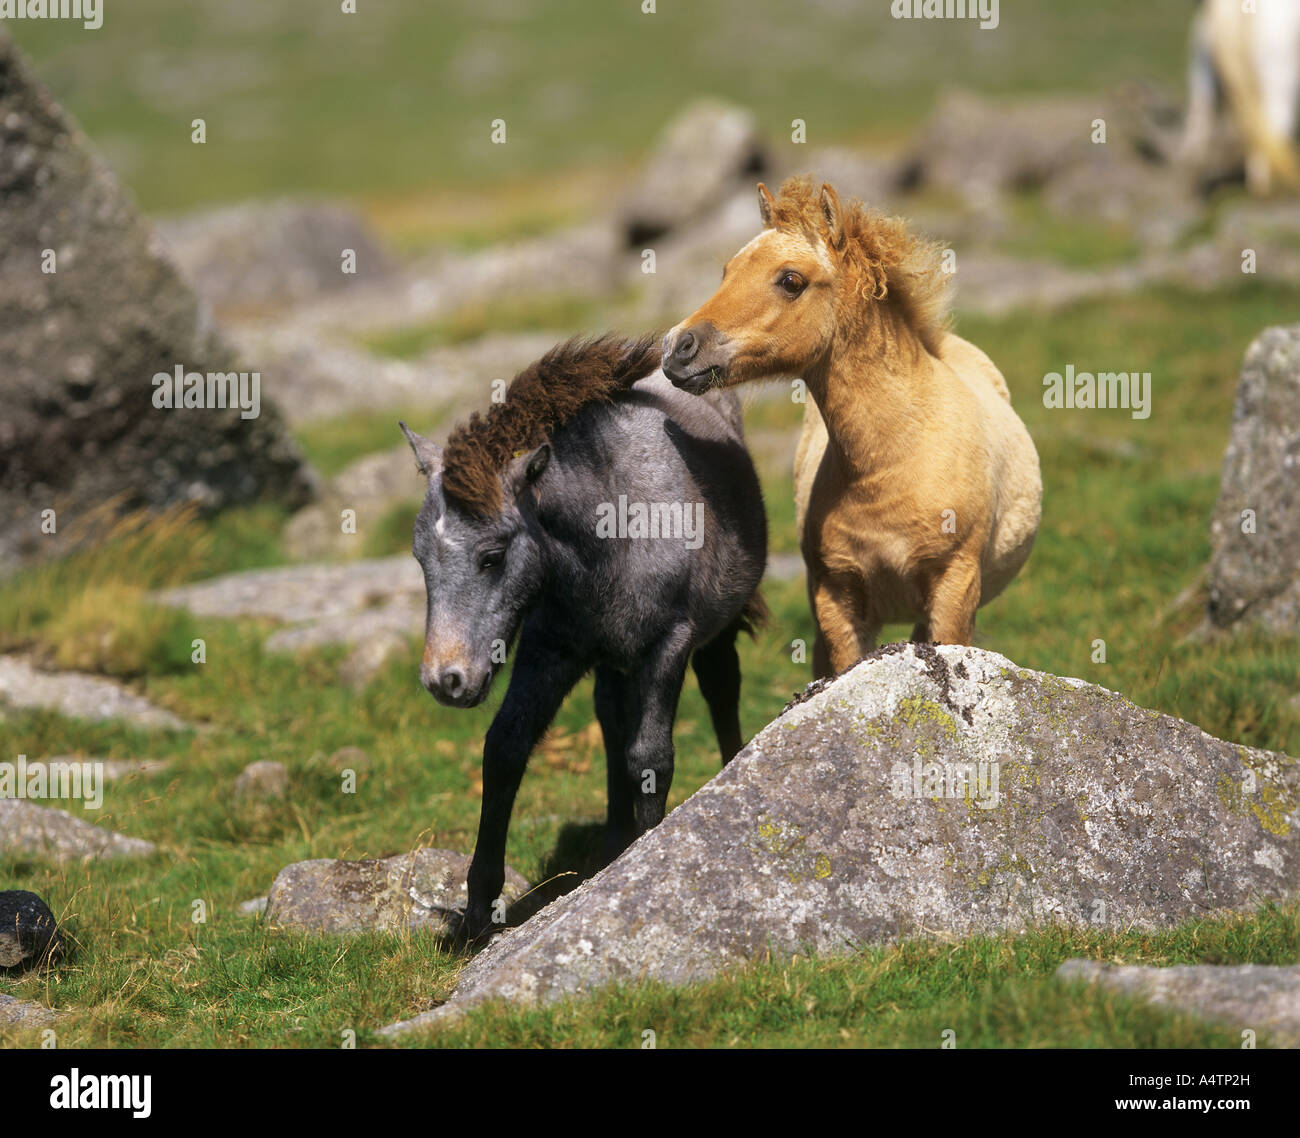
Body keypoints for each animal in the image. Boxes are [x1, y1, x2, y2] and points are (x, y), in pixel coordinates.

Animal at [400, 335, 767, 938]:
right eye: (419, 558)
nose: (445, 680)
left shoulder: (669, 644)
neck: (615, 523)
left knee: (721, 689)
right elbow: (505, 748)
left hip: (709, 634)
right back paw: (612, 846)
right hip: (611, 660)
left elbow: (651, 758)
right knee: (611, 720)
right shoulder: (550, 650)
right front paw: (478, 915)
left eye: (492, 556)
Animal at [660, 176, 1041, 679]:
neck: (893, 466)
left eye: (791, 280)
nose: (677, 348)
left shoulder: (955, 584)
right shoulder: (836, 593)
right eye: (728, 271)